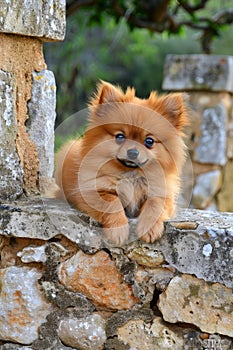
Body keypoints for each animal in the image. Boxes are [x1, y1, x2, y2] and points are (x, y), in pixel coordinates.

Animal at [55, 81, 189, 246]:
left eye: (149, 141)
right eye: (120, 137)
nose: (133, 152)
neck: (131, 175)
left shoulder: (162, 194)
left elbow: (154, 204)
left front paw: (150, 229)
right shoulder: (92, 191)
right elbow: (112, 203)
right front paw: (118, 231)